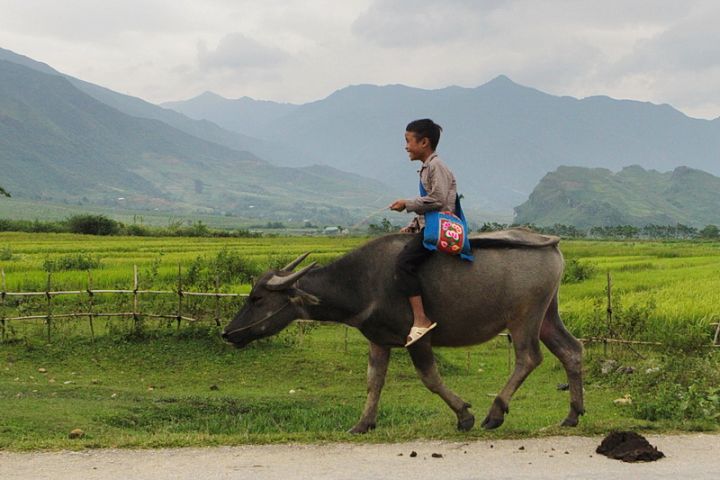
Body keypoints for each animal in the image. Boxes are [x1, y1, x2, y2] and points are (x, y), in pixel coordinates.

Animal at [222, 231, 584, 434]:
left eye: (257, 298)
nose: (228, 333)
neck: (361, 283)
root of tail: (550, 245)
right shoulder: (378, 339)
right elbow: (373, 382)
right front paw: (362, 424)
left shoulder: (418, 339)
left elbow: (430, 378)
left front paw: (464, 416)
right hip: (548, 314)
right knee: (572, 350)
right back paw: (572, 416)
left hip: (524, 318)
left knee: (528, 358)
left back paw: (494, 414)